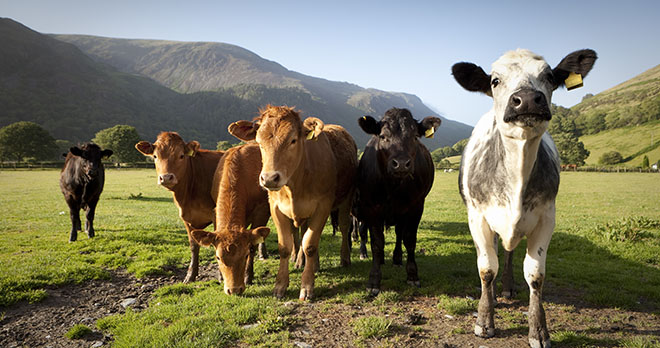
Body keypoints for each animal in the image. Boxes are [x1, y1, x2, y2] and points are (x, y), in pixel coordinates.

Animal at [136, 131, 224, 282]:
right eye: (155, 156)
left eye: (181, 155)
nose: (166, 177)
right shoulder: (186, 218)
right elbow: (193, 246)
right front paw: (190, 275)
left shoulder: (216, 214)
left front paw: (221, 277)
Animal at [191, 143, 270, 294]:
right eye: (218, 257)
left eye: (245, 255)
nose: (234, 290)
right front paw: (221, 277)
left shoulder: (262, 211)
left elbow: (253, 244)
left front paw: (248, 277)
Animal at [229, 104, 358, 300]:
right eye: (259, 142)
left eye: (293, 140)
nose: (269, 178)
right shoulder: (275, 207)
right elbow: (286, 246)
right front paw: (280, 285)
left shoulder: (323, 206)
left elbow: (310, 244)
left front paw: (307, 286)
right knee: (302, 233)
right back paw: (307, 263)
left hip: (346, 199)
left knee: (343, 227)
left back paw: (344, 258)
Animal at [354, 108, 440, 294]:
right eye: (383, 136)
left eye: (415, 136)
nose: (401, 164)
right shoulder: (371, 208)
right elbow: (377, 243)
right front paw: (374, 279)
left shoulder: (416, 206)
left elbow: (409, 239)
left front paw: (413, 275)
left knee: (400, 234)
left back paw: (397, 258)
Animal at [454, 49, 600, 348]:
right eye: (495, 80)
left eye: (549, 77)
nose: (528, 99)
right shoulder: (477, 217)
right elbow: (486, 268)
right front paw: (484, 320)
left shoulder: (546, 218)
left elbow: (535, 274)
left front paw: (538, 330)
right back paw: (494, 294)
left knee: (509, 254)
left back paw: (507, 288)